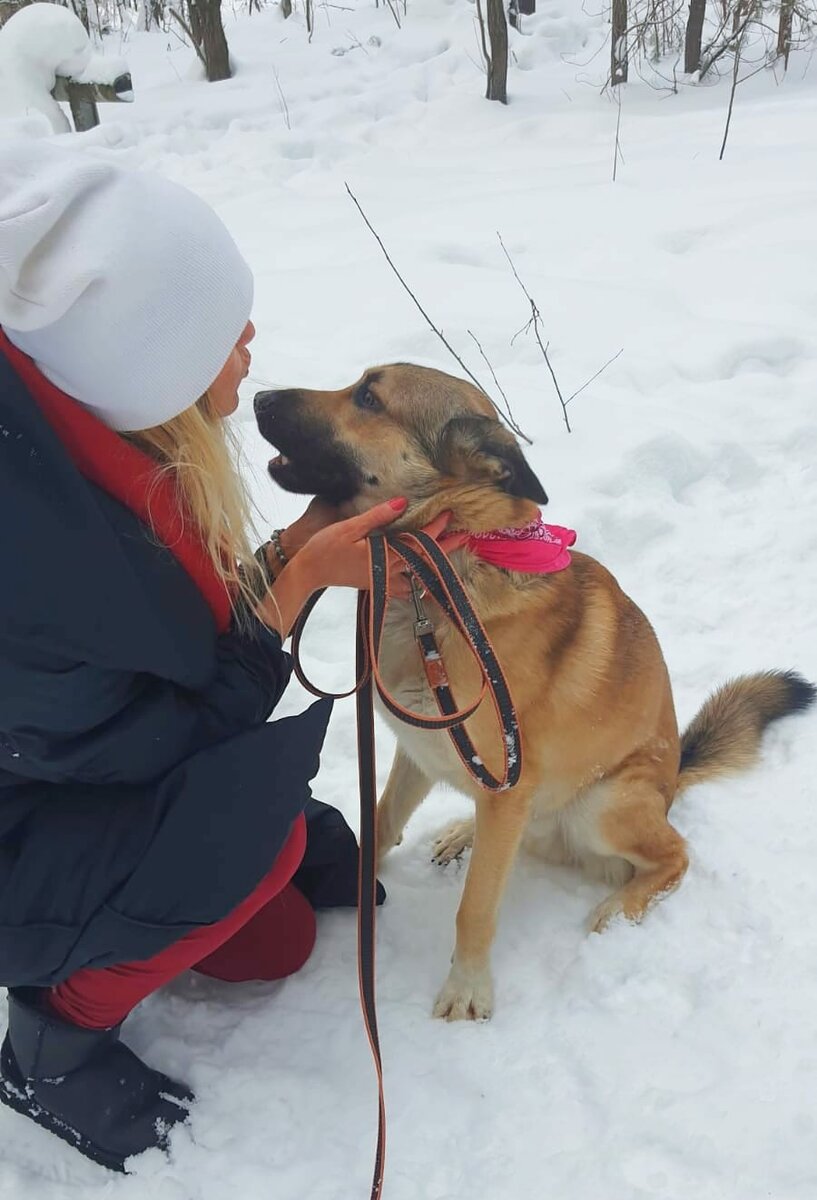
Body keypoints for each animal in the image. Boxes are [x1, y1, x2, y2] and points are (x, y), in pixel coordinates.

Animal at [253, 364, 811, 1022]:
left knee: (676, 854)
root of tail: (674, 777)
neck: (441, 577)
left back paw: (618, 908)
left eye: (368, 397)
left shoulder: (495, 781)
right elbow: (383, 825)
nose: (257, 396)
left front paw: (467, 987)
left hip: (603, 805)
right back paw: (462, 832)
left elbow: (475, 908)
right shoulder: (421, 751)